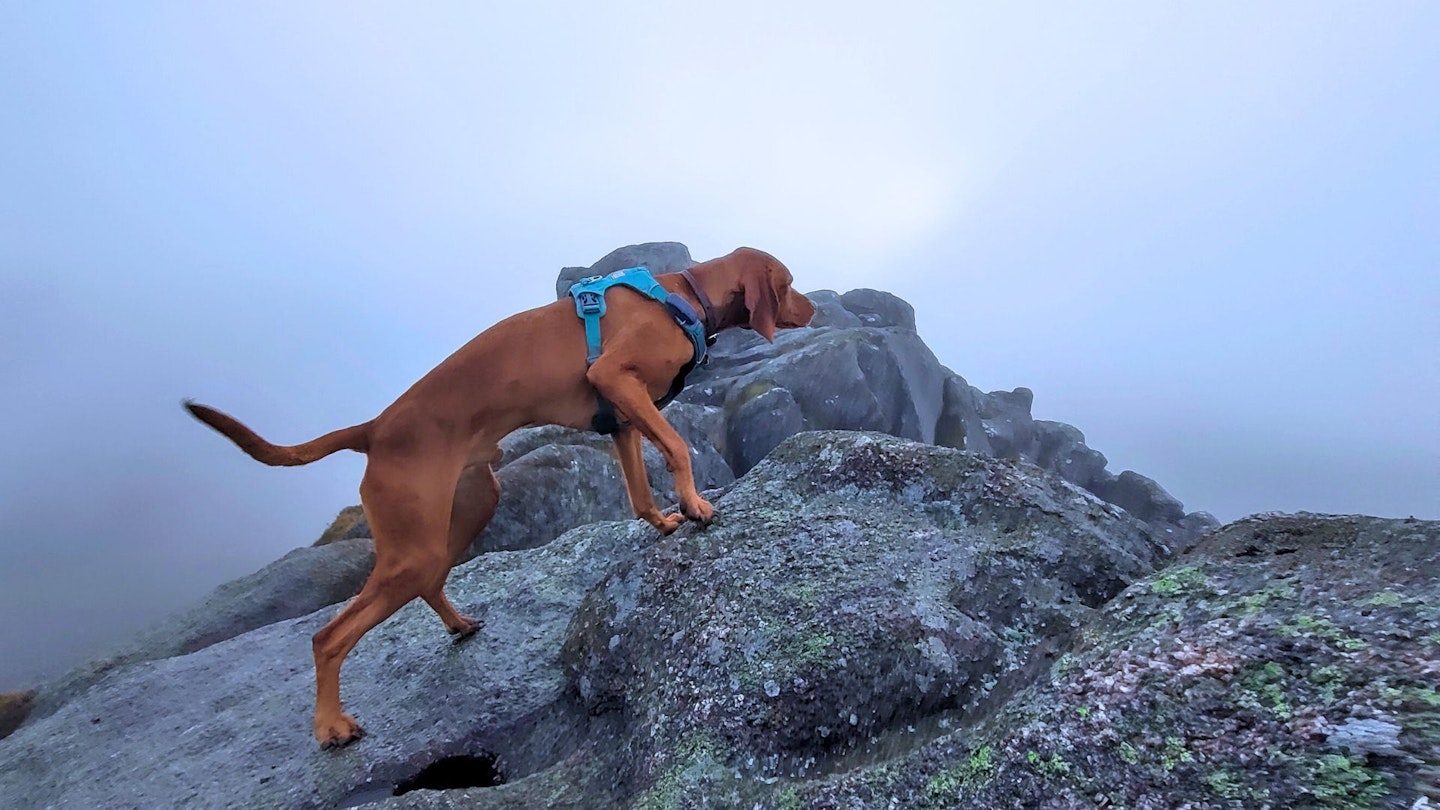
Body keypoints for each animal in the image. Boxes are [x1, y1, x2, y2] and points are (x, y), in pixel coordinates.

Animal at [182, 245, 812, 743]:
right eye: (789, 282)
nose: (814, 309)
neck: (684, 296)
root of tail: (375, 429)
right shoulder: (613, 376)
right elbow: (679, 447)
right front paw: (696, 505)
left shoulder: (622, 418)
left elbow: (637, 494)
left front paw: (662, 520)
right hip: (414, 542)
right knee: (327, 636)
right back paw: (331, 725)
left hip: (468, 507)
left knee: (429, 582)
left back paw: (458, 625)